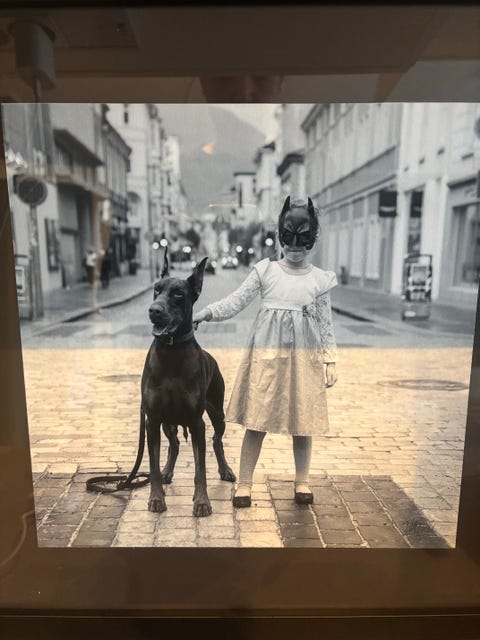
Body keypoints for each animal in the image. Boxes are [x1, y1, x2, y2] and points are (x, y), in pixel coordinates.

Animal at [141, 250, 236, 517]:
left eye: (178, 294)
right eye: (156, 289)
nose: (154, 310)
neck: (171, 352)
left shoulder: (196, 422)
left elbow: (200, 469)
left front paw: (202, 502)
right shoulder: (152, 420)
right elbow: (152, 465)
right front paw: (156, 498)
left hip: (217, 412)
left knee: (217, 441)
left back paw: (225, 470)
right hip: (167, 422)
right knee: (173, 445)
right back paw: (167, 472)